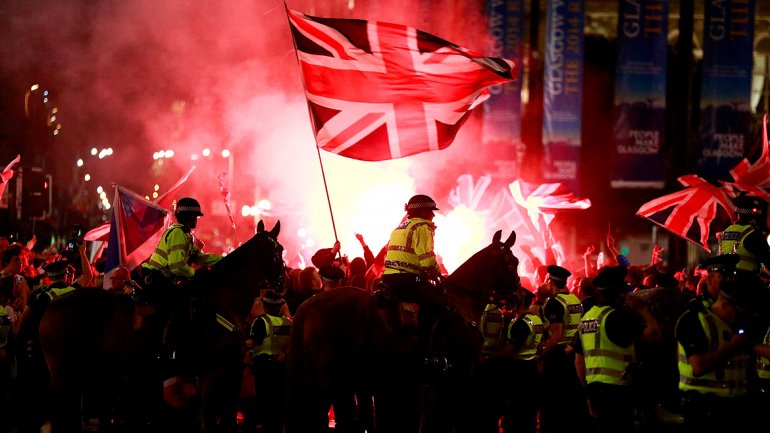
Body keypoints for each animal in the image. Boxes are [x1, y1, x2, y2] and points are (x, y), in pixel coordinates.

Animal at [39, 221, 284, 430]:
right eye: (279, 250)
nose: (282, 284)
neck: (224, 300)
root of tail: (53, 305)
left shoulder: (222, 372)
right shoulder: (214, 371)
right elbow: (208, 419)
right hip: (65, 373)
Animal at [284, 228, 520, 430]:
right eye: (513, 263)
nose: (519, 296)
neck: (462, 301)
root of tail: (310, 302)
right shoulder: (461, 371)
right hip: (330, 377)